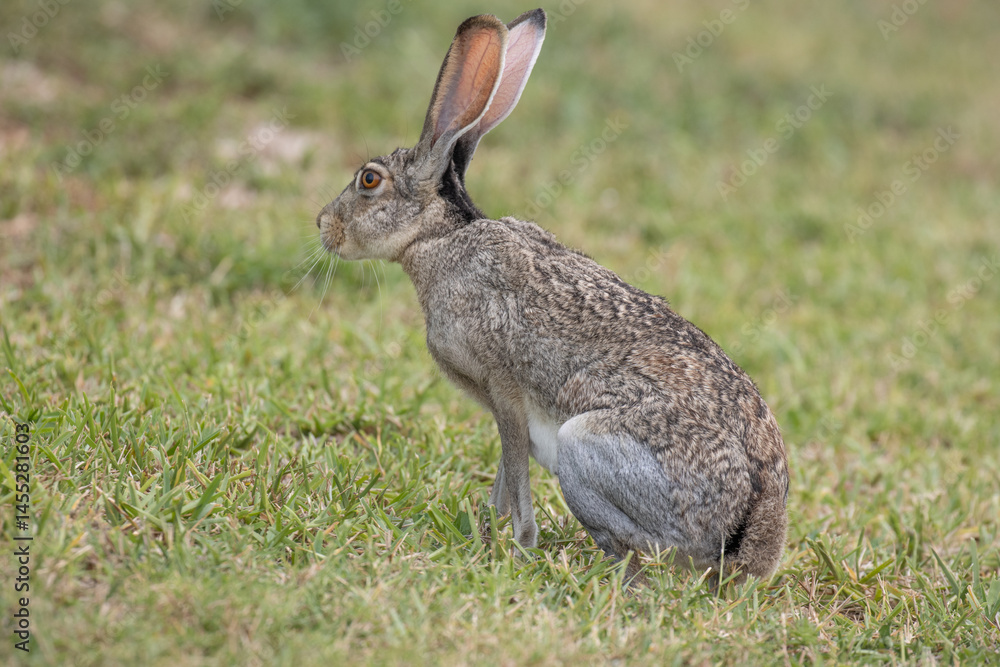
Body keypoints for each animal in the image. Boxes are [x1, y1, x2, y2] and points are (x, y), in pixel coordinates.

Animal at [316, 9, 789, 584]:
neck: (439, 239)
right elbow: (506, 467)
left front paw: (514, 543)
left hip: (583, 451)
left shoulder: (503, 387)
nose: (323, 227)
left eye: (369, 180)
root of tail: (750, 535)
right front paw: (486, 530)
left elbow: (515, 467)